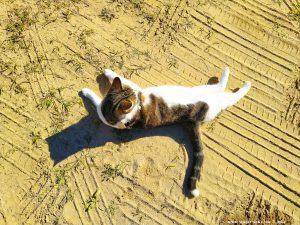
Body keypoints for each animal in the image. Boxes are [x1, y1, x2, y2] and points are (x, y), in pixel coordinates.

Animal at [81, 67, 251, 197]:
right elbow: (99, 102)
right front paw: (90, 92)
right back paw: (242, 82)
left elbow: (121, 80)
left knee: (224, 88)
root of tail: (193, 120)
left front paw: (107, 73)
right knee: (228, 92)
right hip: (215, 100)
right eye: (134, 98)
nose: (137, 95)